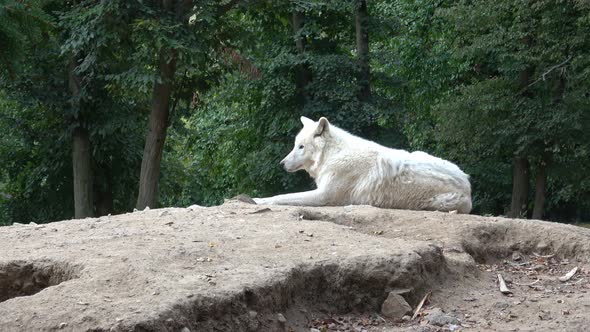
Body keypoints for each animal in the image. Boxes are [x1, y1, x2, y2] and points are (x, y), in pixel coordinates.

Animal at [252, 116, 474, 213]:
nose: (281, 164)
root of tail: (467, 182)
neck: (333, 155)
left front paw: (257, 200)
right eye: (295, 145)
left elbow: (282, 197)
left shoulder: (324, 196)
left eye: (301, 147)